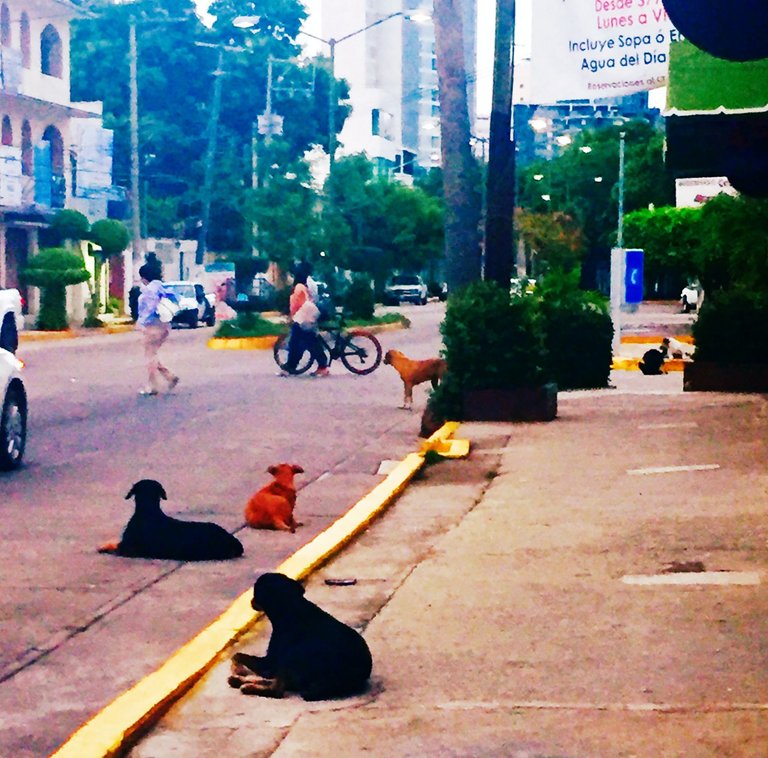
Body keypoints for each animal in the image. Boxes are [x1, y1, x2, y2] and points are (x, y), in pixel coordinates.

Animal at [228, 572, 372, 704]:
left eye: (256, 591)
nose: (250, 602)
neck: (292, 607)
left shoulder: (269, 663)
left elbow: (237, 655)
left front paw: (237, 669)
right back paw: (238, 681)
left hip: (293, 656)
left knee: (277, 690)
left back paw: (248, 686)